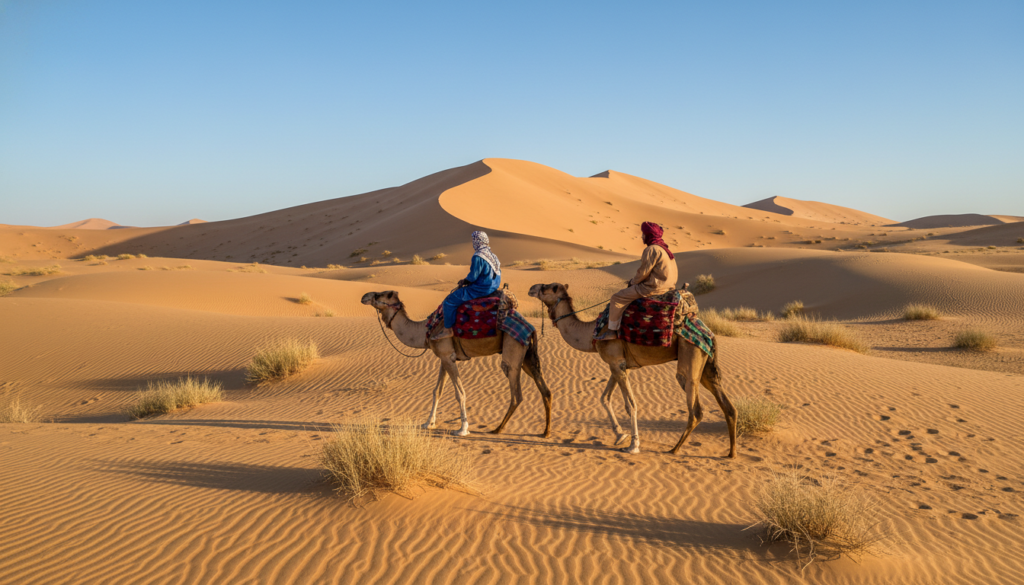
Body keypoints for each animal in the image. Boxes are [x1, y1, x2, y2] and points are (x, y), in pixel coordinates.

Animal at [361, 291, 553, 437]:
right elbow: (437, 391)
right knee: (546, 391)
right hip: (527, 356)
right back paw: (545, 432)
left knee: (516, 394)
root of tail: (531, 328)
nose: (364, 296)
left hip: (513, 350)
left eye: (379, 294)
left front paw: (462, 429)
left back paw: (497, 429)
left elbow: (460, 393)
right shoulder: (444, 358)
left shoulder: (447, 356)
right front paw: (428, 423)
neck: (425, 330)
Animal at [527, 283, 737, 458]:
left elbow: (630, 405)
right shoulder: (618, 365)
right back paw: (731, 453)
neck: (591, 334)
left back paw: (675, 449)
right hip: (706, 364)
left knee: (695, 409)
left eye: (546, 287)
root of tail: (709, 332)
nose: (531, 288)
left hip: (690, 354)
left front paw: (633, 445)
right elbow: (604, 398)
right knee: (728, 407)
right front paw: (620, 435)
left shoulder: (616, 362)